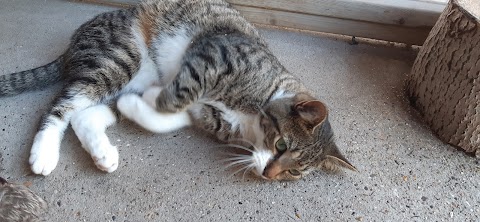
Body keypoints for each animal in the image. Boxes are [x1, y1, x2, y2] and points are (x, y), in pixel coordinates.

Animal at [0, 0, 354, 180]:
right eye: (281, 145)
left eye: (293, 172)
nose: (269, 174)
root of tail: (75, 40)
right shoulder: (214, 54)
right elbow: (181, 93)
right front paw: (159, 98)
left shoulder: (212, 118)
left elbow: (169, 117)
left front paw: (141, 105)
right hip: (118, 58)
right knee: (61, 107)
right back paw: (43, 153)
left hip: (127, 76)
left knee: (83, 114)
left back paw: (103, 152)